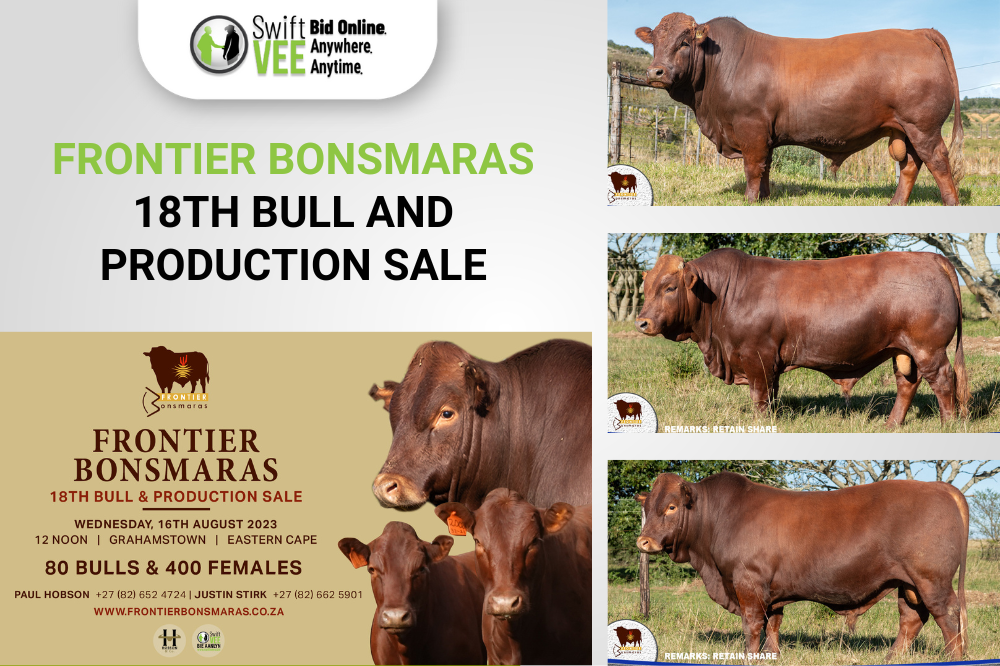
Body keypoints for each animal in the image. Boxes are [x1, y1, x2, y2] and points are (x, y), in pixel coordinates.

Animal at [634, 14, 964, 205]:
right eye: (654, 41)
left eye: (684, 42)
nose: (655, 72)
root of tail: (919, 32)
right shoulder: (764, 133)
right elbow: (765, 166)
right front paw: (765, 197)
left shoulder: (751, 127)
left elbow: (753, 167)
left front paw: (749, 199)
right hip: (904, 129)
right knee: (910, 165)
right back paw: (895, 204)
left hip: (923, 126)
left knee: (938, 162)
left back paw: (951, 203)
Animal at [635, 249, 968, 427]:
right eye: (646, 287)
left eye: (669, 287)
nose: (642, 322)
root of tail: (931, 257)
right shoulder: (768, 362)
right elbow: (771, 395)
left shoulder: (757, 357)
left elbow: (760, 396)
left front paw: (760, 423)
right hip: (903, 350)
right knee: (907, 383)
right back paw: (891, 424)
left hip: (928, 348)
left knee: (943, 379)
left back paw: (948, 423)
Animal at [635, 472, 969, 659]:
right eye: (647, 506)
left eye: (671, 507)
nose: (644, 542)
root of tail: (940, 487)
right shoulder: (771, 590)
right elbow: (773, 623)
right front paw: (771, 654)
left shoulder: (748, 582)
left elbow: (752, 624)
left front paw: (749, 655)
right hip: (909, 584)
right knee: (911, 618)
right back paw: (892, 656)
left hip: (932, 580)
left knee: (947, 616)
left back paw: (951, 656)